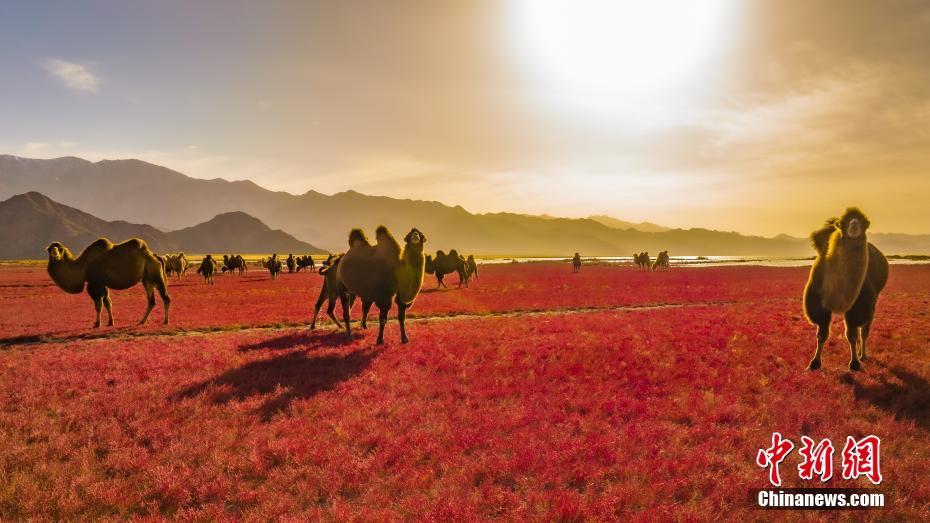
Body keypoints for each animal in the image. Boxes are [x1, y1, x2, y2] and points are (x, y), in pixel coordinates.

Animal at [800, 209, 888, 372]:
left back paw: (862, 355)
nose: (854, 224)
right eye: (843, 222)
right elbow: (822, 335)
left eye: (864, 221)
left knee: (864, 330)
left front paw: (854, 363)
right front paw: (814, 362)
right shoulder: (819, 305)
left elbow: (852, 335)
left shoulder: (858, 306)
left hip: (873, 302)